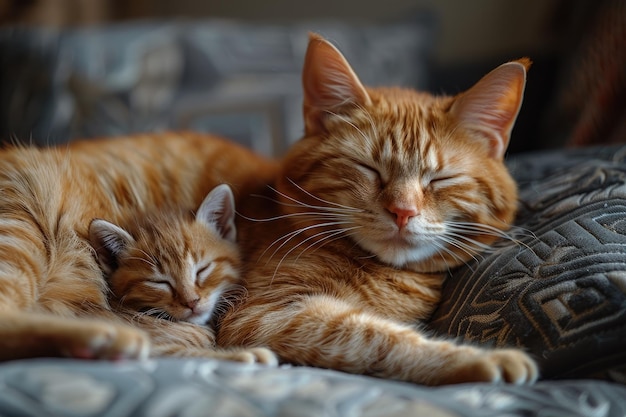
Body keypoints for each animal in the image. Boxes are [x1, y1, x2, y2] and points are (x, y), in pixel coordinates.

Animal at [214, 34, 536, 386]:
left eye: (441, 179)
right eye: (368, 169)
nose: (403, 211)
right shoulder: (263, 313)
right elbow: (375, 336)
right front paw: (478, 358)